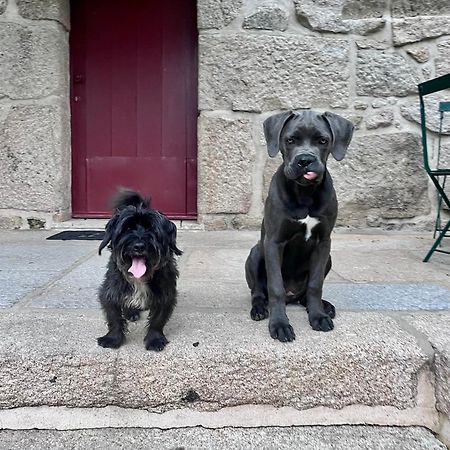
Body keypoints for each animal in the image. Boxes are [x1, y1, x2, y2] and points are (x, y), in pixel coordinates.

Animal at [97, 188, 182, 350]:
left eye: (152, 229)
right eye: (127, 228)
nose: (139, 246)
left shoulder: (166, 294)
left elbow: (157, 320)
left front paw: (155, 339)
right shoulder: (111, 291)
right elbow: (113, 317)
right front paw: (112, 338)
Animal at [246, 110, 356, 342]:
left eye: (323, 141)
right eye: (290, 140)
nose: (305, 160)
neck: (305, 193)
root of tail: (292, 296)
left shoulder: (323, 243)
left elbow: (315, 285)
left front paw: (318, 316)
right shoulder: (274, 242)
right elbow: (275, 287)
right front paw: (279, 324)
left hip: (328, 259)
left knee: (306, 294)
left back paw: (323, 307)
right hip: (255, 253)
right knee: (258, 291)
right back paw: (259, 308)